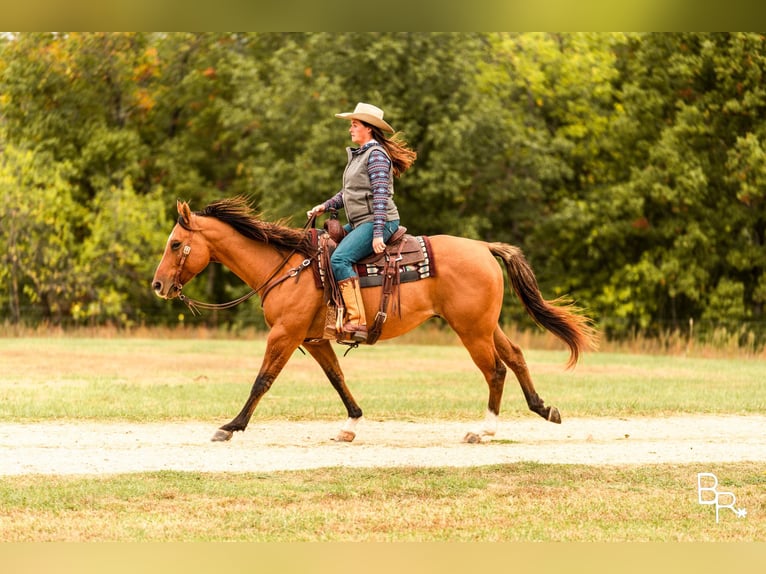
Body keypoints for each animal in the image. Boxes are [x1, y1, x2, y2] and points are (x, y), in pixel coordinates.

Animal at [152, 198, 600, 446]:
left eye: (175, 244)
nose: (158, 285)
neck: (289, 267)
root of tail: (484, 248)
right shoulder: (315, 340)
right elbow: (337, 379)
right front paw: (350, 425)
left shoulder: (285, 335)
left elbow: (262, 380)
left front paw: (231, 426)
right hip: (487, 325)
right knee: (517, 357)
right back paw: (544, 408)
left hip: (472, 330)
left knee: (495, 370)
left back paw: (484, 430)